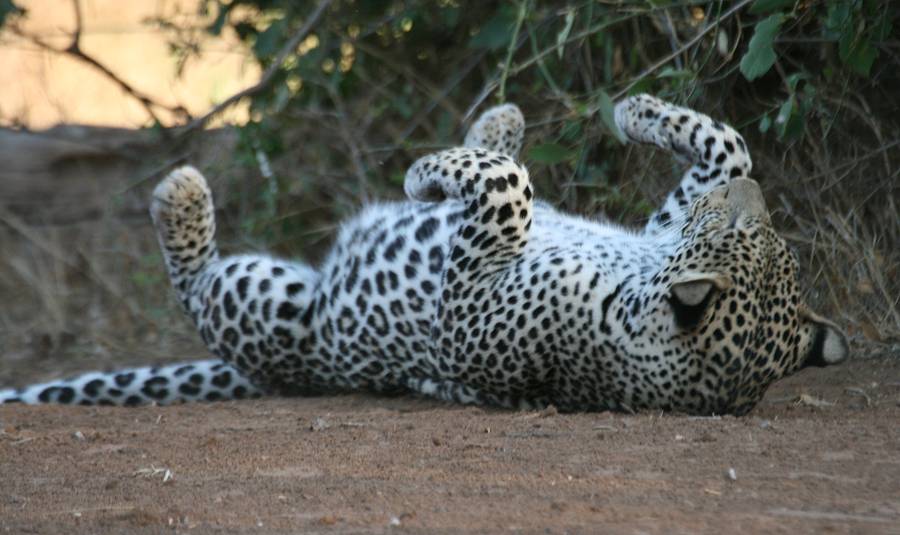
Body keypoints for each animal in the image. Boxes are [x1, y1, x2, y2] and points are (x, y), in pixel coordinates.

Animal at [0, 95, 848, 414]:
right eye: (758, 230)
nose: (753, 201)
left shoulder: (468, 307)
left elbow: (507, 192)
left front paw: (425, 175)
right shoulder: (661, 223)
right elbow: (729, 144)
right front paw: (639, 111)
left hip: (278, 306)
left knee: (197, 285)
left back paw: (180, 196)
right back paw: (497, 120)